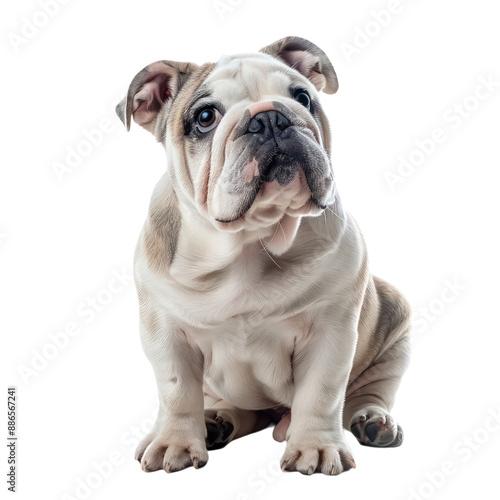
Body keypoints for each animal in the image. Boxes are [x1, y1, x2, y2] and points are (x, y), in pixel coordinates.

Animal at [116, 37, 410, 474]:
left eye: (303, 97)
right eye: (205, 117)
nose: (270, 117)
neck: (249, 241)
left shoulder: (332, 330)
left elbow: (321, 393)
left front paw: (315, 447)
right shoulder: (166, 332)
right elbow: (177, 391)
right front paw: (175, 441)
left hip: (395, 323)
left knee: (372, 390)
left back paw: (373, 420)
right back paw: (217, 420)